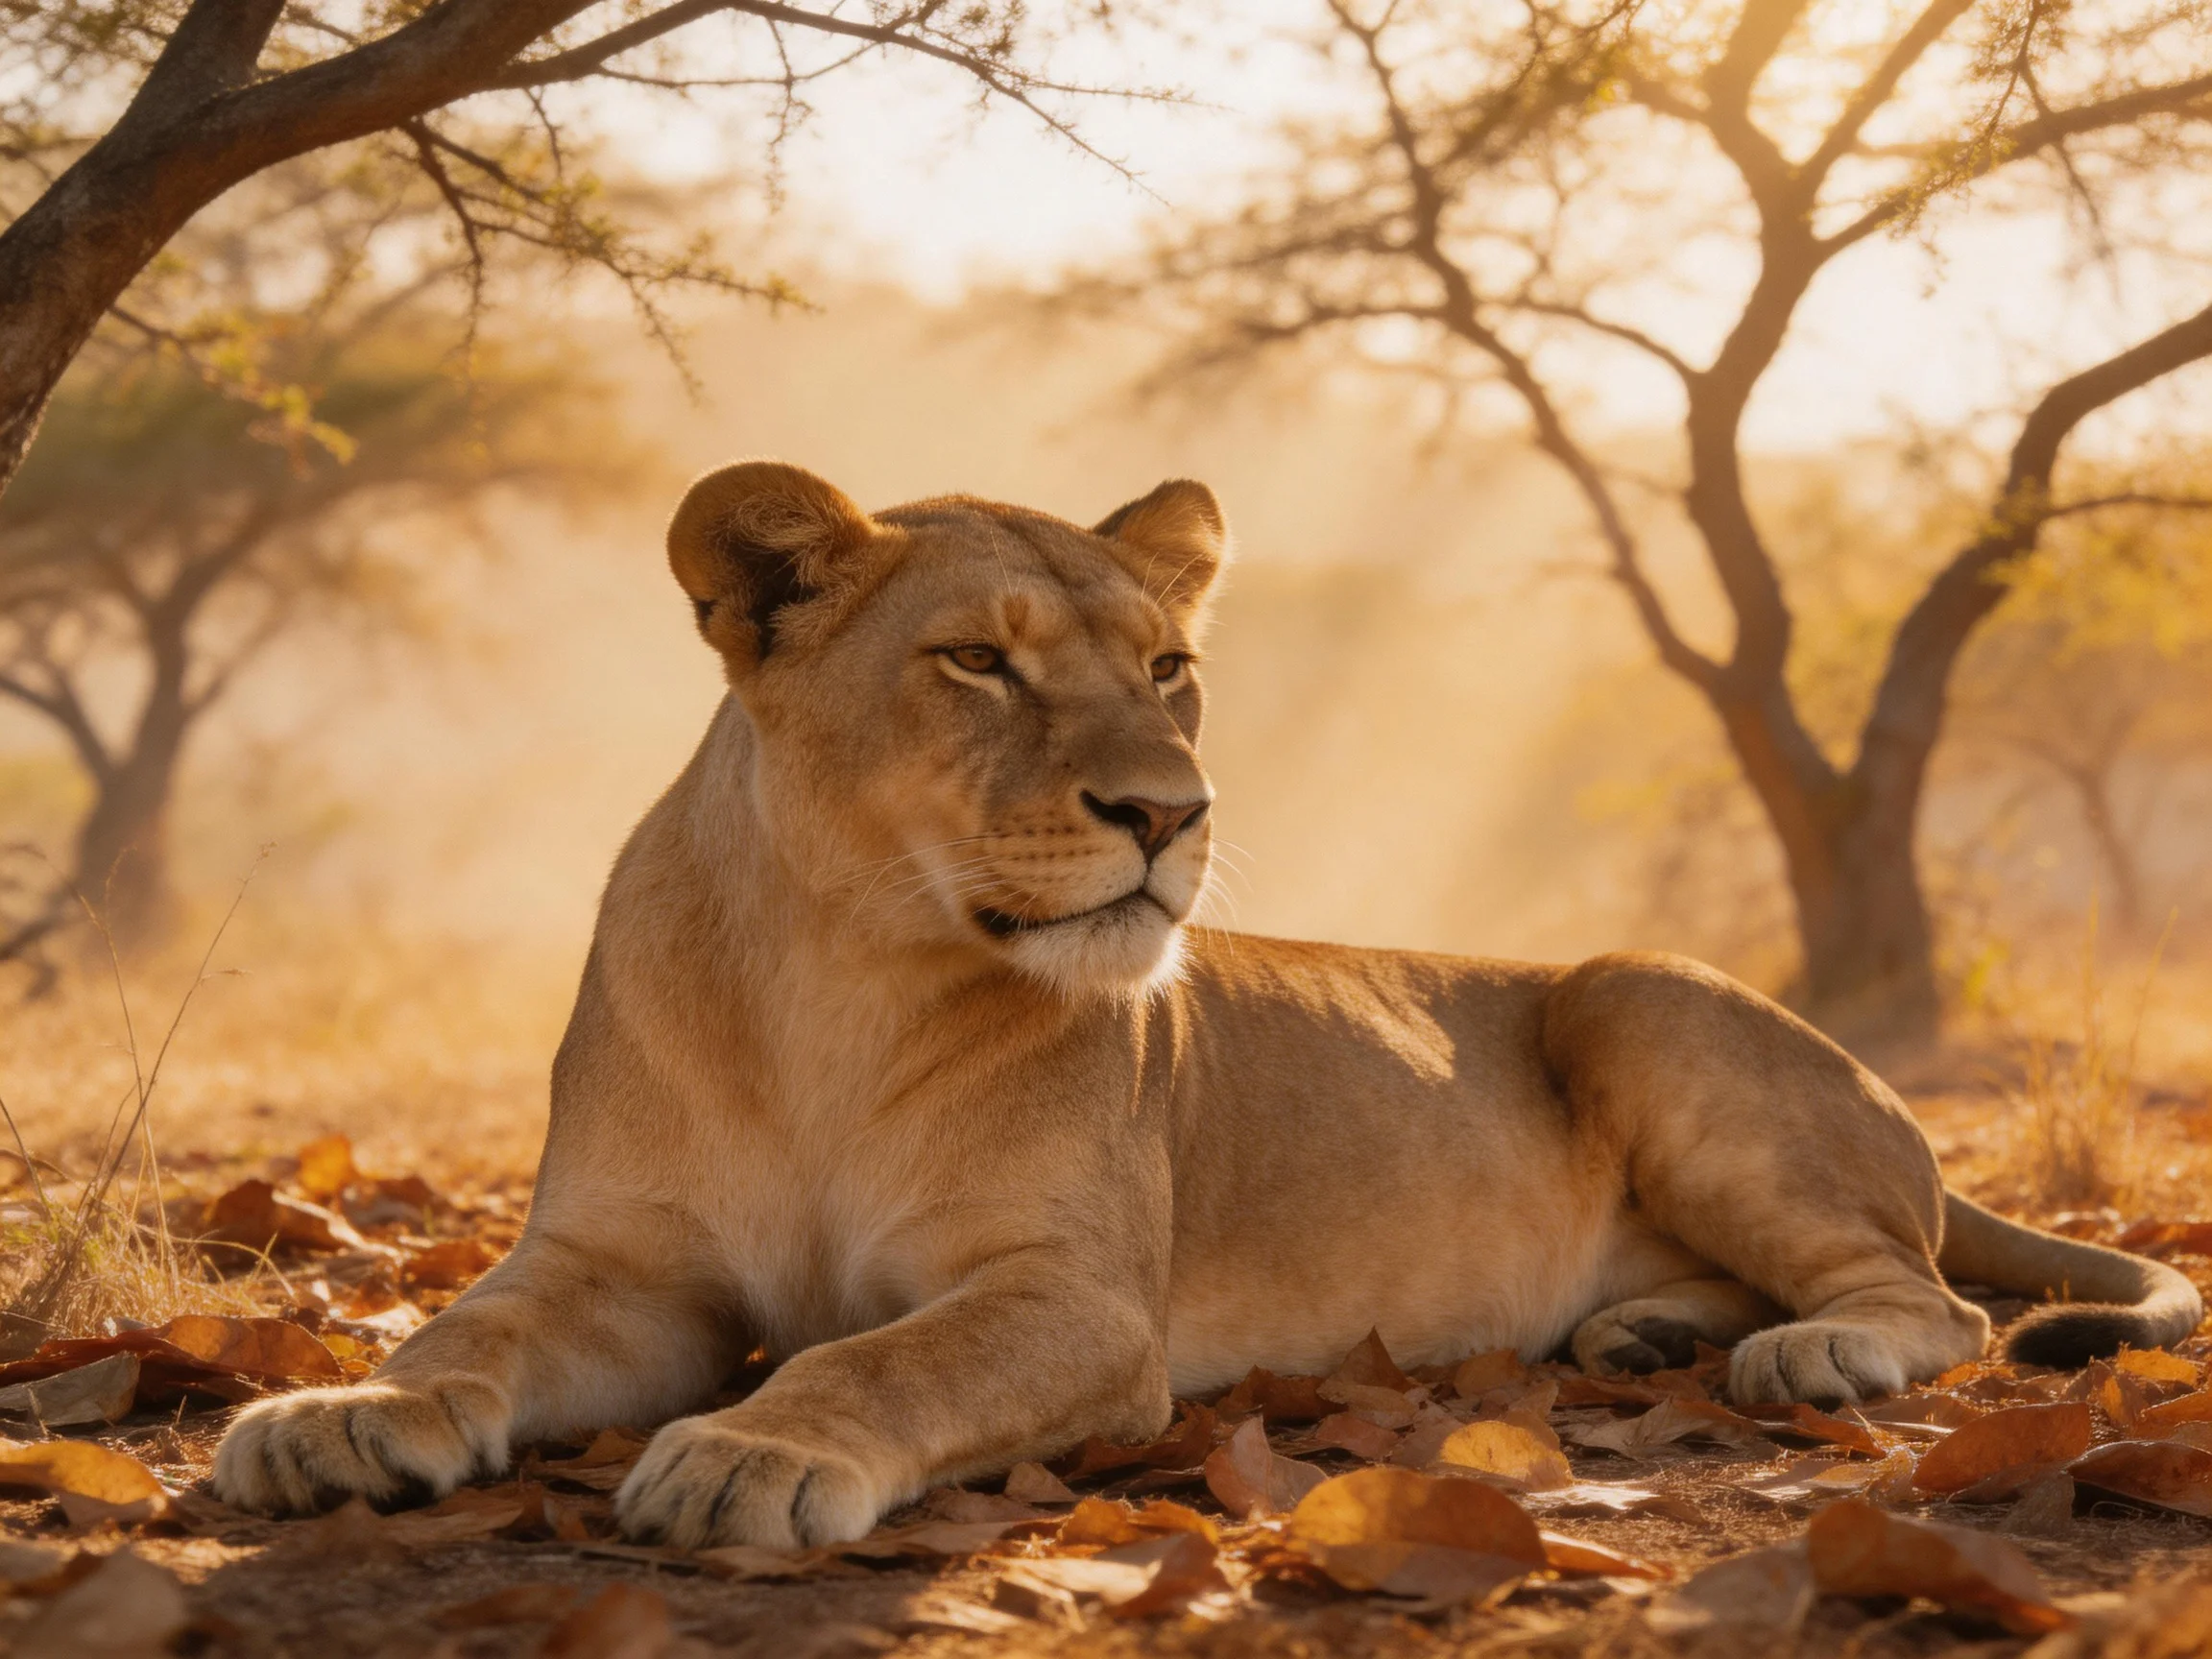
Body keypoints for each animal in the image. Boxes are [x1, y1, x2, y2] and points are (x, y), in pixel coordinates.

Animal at [213, 461, 2201, 1548]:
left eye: (1170, 668)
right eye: (975, 660)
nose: (1170, 810)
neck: (832, 981)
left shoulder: (1079, 1305)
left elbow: (879, 1352)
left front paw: (752, 1450)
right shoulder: (619, 1265)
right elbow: (465, 1330)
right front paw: (334, 1417)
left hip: (1636, 998)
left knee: (1932, 1293)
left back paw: (1802, 1349)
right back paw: (1642, 1330)